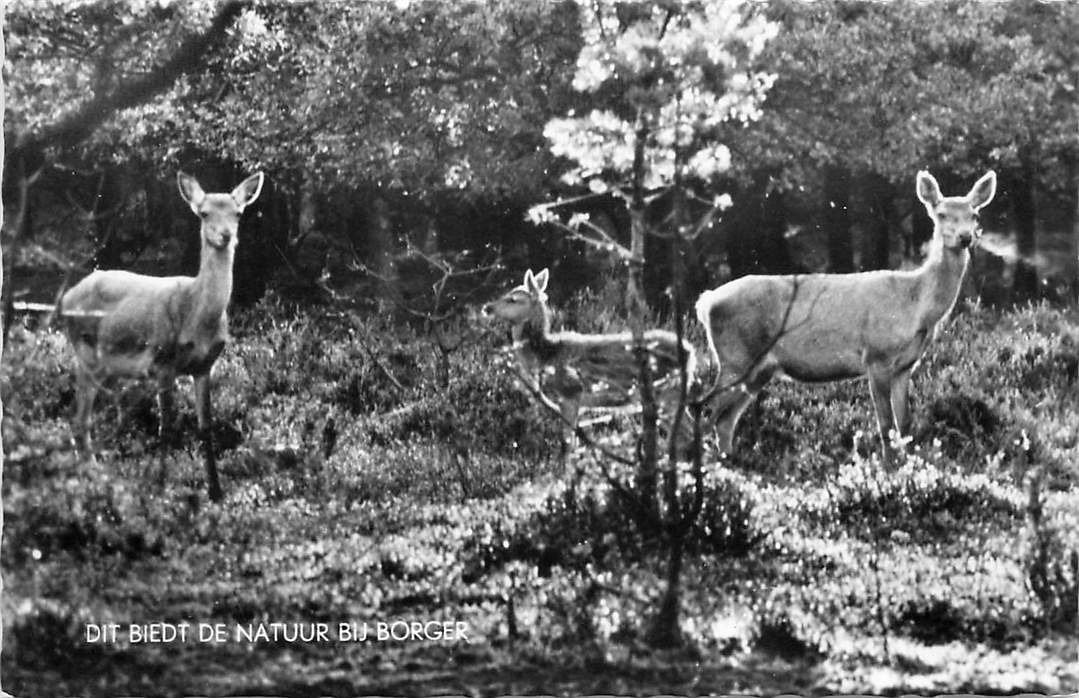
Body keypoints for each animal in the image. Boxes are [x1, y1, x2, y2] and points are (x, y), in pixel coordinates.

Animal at [58, 170, 265, 502]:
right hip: (85, 352)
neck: (198, 316)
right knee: (78, 419)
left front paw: (215, 490)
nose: (225, 236)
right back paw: (93, 477)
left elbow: (205, 426)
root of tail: (66, 299)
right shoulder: (163, 361)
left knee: (87, 417)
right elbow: (166, 427)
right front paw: (159, 484)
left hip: (107, 367)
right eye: (204, 213)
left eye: (238, 213)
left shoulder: (204, 366)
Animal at [483, 268, 699, 459]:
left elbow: (567, 444)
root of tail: (691, 353)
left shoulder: (571, 392)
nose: (487, 307)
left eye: (513, 299)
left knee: (686, 435)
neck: (546, 356)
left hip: (664, 392)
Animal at [694, 170, 996, 459]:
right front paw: (889, 471)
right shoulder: (876, 355)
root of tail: (706, 302)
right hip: (735, 356)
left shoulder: (905, 366)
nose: (966, 237)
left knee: (725, 420)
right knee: (706, 410)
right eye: (941, 214)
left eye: (975, 214)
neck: (917, 308)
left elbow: (905, 425)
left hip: (758, 370)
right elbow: (885, 426)